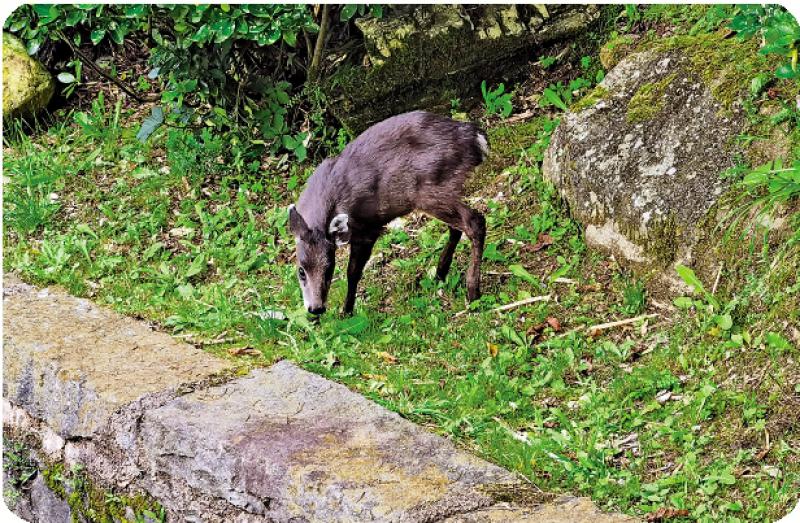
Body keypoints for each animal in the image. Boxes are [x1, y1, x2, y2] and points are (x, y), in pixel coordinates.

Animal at [288, 110, 488, 316]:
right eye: (301, 270)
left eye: (329, 268)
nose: (316, 308)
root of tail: (474, 137)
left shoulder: (368, 228)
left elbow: (353, 272)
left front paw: (347, 312)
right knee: (456, 228)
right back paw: (440, 273)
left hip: (431, 190)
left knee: (474, 221)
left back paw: (473, 292)